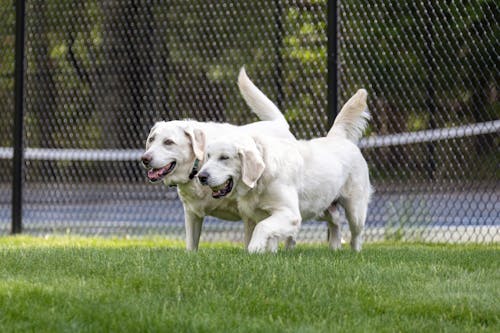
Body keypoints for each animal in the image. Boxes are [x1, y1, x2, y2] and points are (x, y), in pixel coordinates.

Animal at [141, 67, 294, 249]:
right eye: (151, 139)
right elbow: (191, 246)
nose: (144, 159)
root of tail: (279, 123)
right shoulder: (191, 214)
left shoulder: (249, 214)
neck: (198, 165)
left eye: (168, 142)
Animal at [196, 88, 372, 252]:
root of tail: (338, 137)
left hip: (355, 210)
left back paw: (355, 252)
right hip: (320, 206)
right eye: (208, 156)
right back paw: (334, 247)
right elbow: (261, 236)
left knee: (356, 234)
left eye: (224, 157)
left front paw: (255, 248)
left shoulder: (290, 214)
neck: (262, 178)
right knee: (335, 220)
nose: (201, 176)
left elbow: (262, 227)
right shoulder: (254, 216)